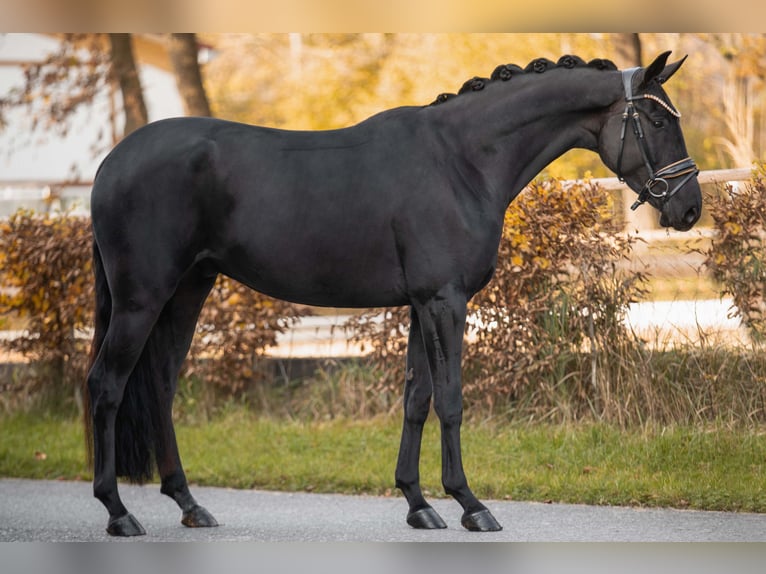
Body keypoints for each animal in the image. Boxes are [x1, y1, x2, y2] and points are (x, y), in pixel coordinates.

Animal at [85, 51, 704, 536]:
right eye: (654, 116)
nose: (690, 208)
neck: (461, 160)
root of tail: (112, 162)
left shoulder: (420, 305)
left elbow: (416, 398)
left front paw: (418, 504)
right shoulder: (445, 301)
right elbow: (450, 399)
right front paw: (471, 505)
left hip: (188, 290)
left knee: (160, 386)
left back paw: (189, 504)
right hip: (142, 299)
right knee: (106, 385)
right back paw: (117, 512)